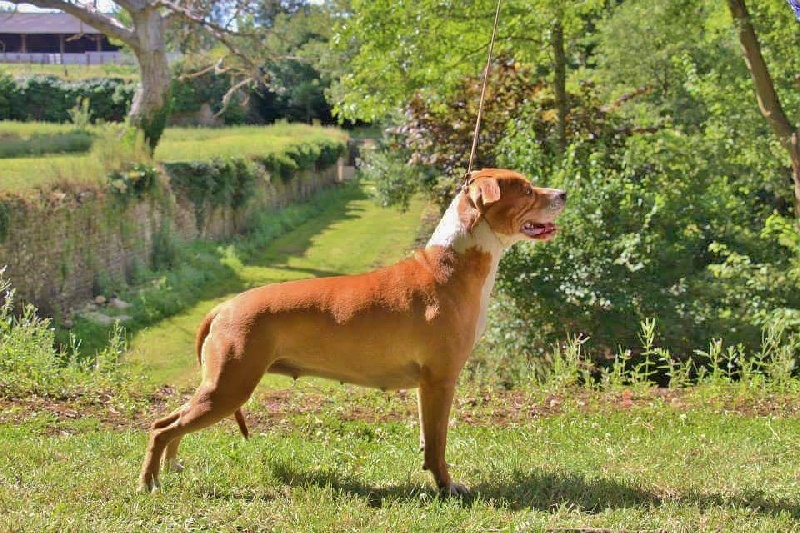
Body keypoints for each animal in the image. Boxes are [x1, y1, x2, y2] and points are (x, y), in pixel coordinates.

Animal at [138, 168, 566, 495]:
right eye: (528, 190)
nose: (562, 193)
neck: (452, 265)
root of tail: (223, 307)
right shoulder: (440, 380)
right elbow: (438, 444)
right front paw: (448, 488)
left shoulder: (426, 385)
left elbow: (428, 439)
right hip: (229, 387)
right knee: (161, 428)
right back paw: (148, 483)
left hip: (219, 387)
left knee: (169, 422)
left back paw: (171, 469)